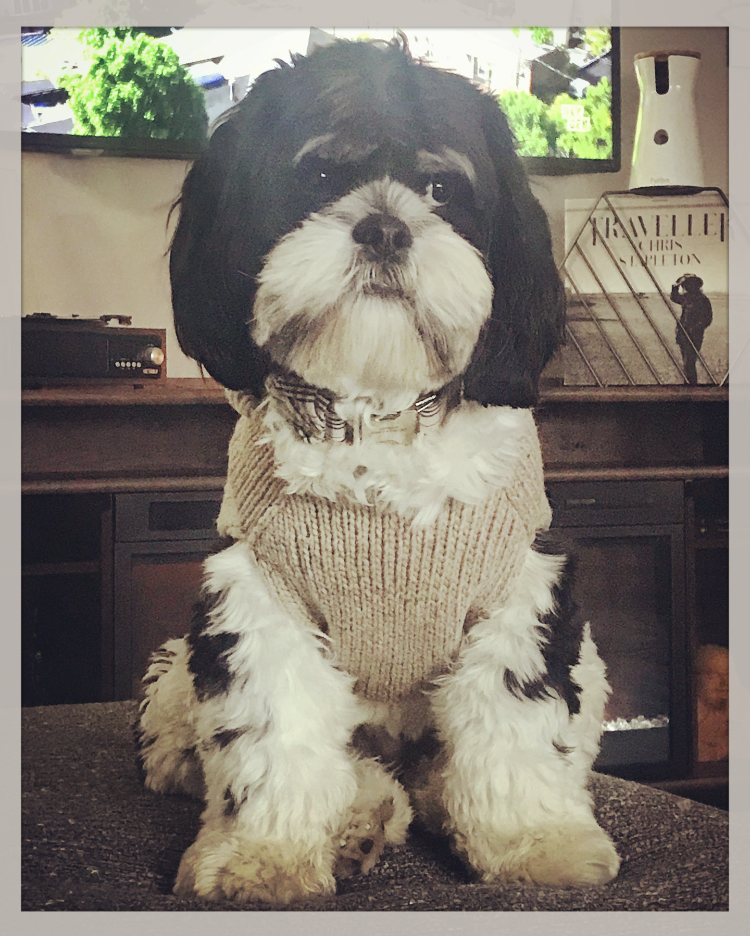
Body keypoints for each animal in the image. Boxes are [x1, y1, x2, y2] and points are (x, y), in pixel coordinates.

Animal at [136, 36, 620, 904]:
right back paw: (359, 815)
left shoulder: (520, 594)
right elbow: (274, 735)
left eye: (442, 189)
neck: (379, 419)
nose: (387, 228)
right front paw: (263, 857)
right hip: (175, 684)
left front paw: (536, 844)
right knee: (213, 752)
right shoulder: (258, 597)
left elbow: (516, 726)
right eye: (321, 178)